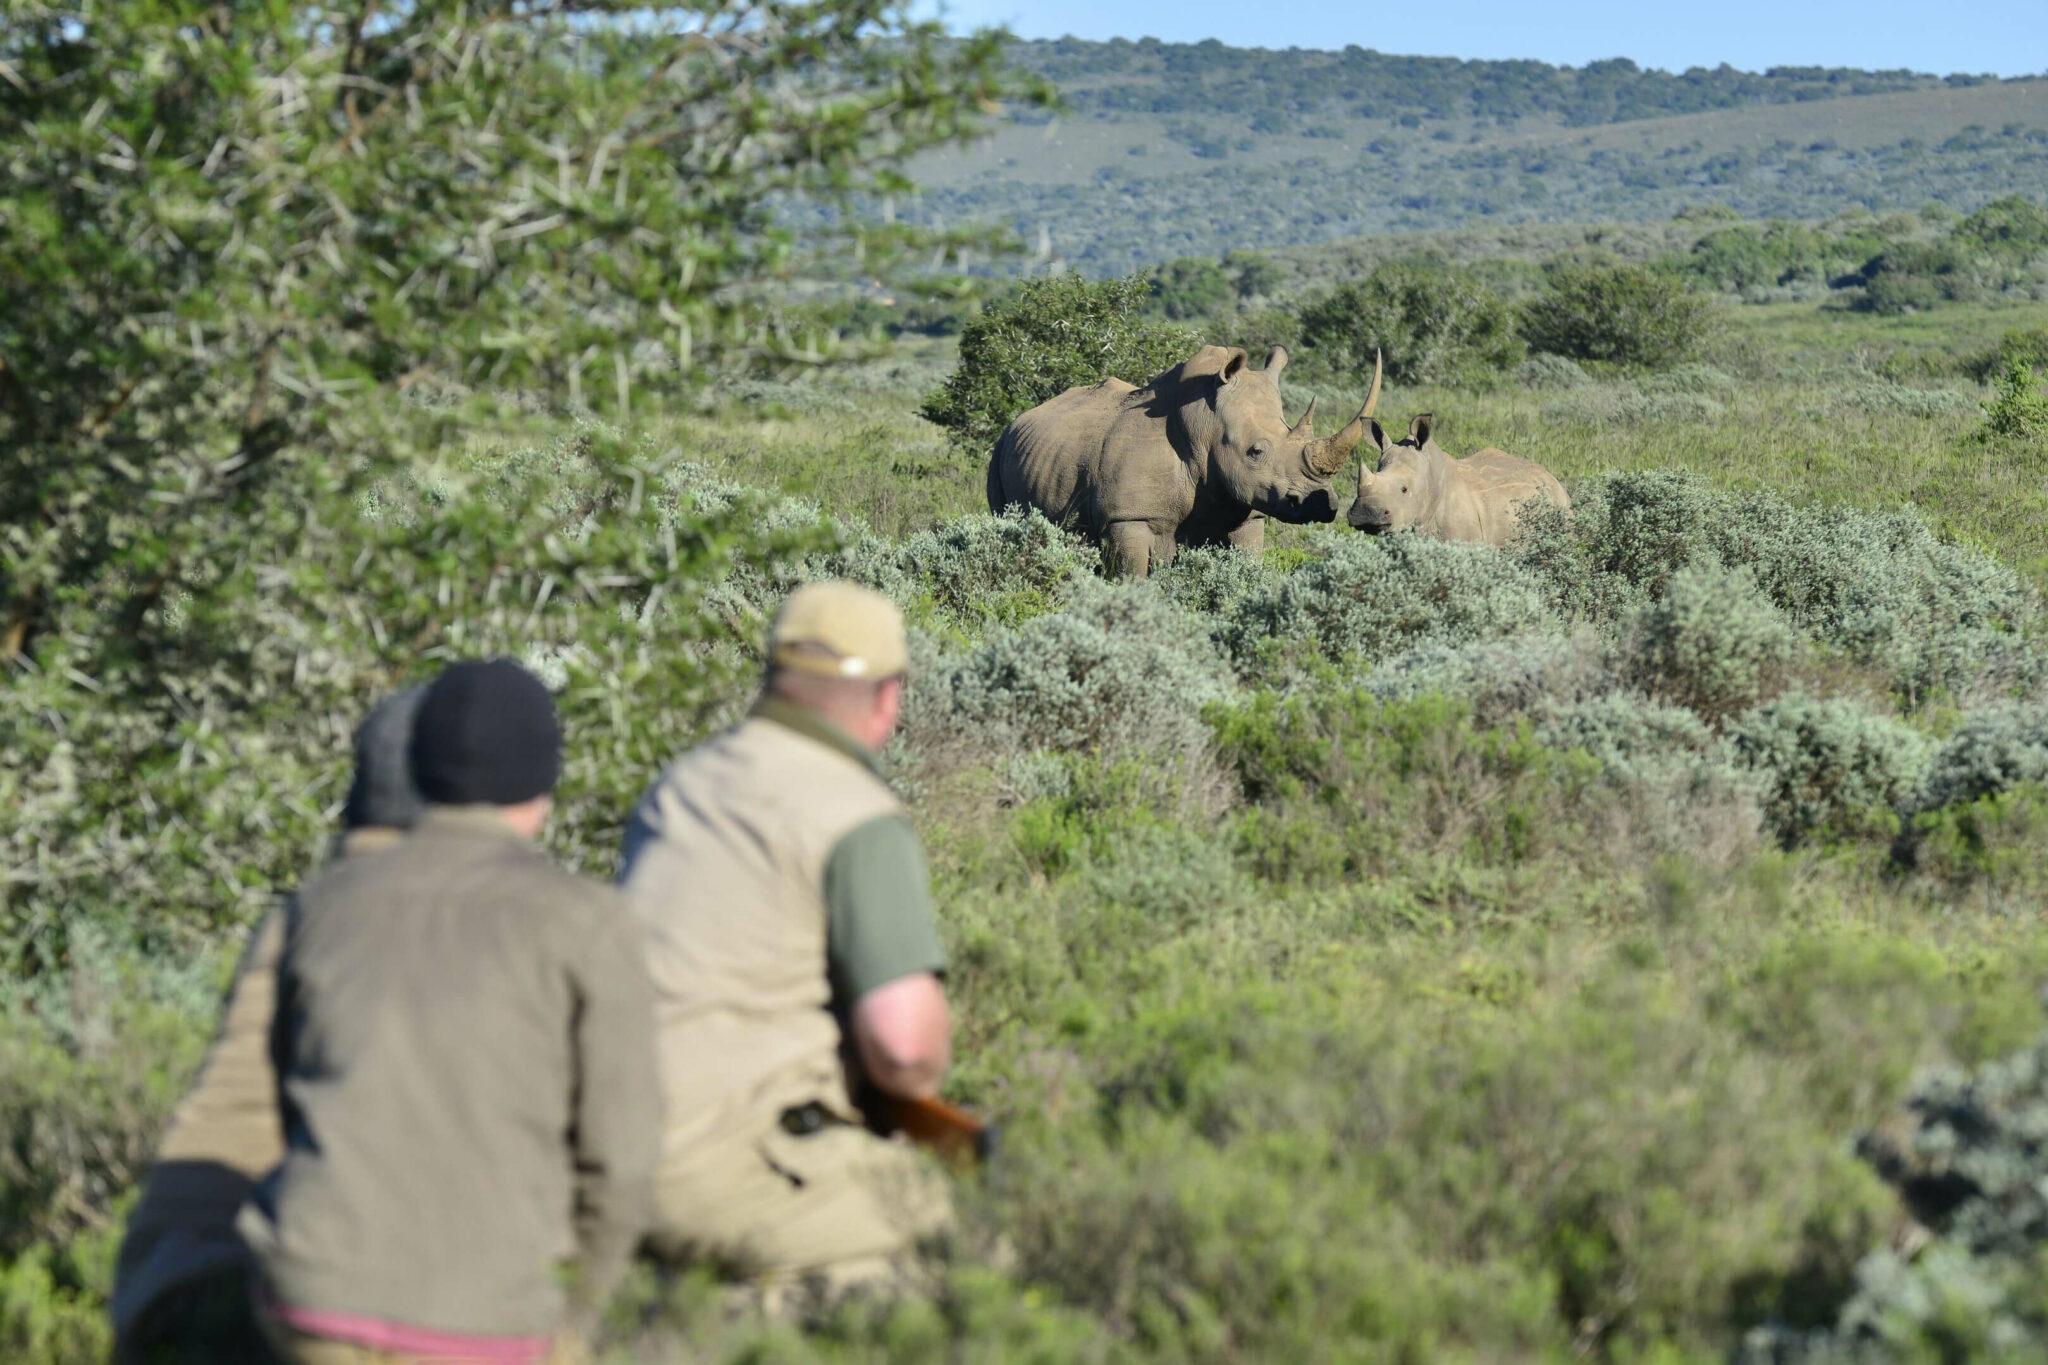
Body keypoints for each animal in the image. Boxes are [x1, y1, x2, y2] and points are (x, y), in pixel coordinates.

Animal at [987, 344, 1380, 577]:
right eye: (1255, 452)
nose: (1322, 505)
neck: (1206, 424)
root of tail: (1020, 419)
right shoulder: (1129, 517)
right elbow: (1134, 577)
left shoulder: (1249, 514)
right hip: (999, 448)